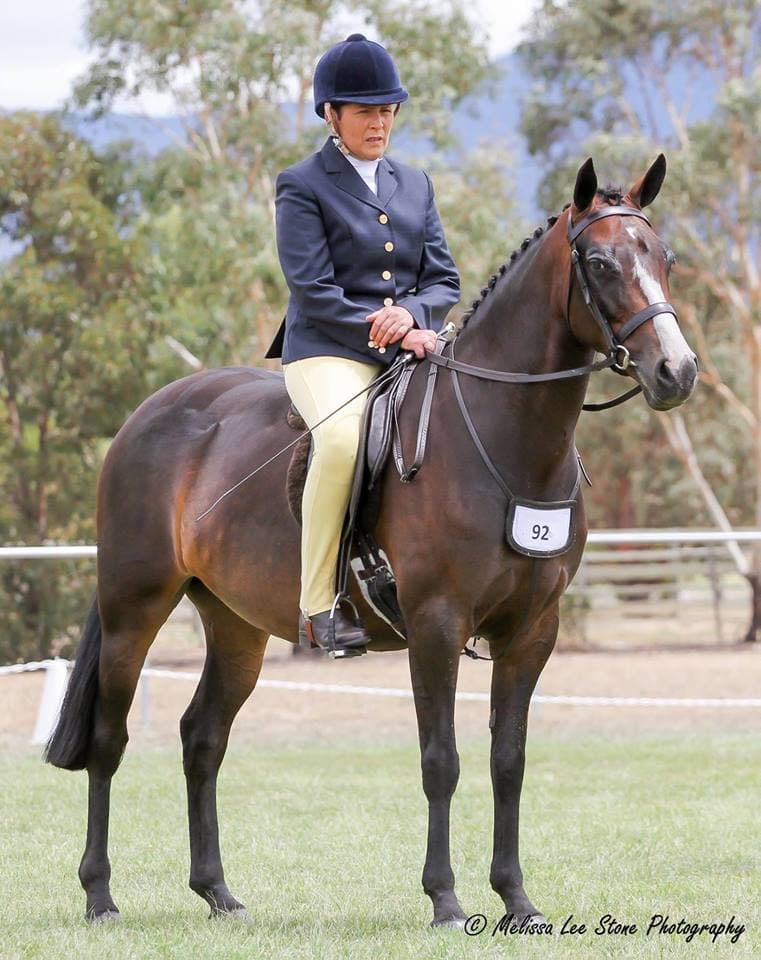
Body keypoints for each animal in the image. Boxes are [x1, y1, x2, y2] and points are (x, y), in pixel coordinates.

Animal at [45, 155, 698, 926]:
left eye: (664, 258)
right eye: (598, 262)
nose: (676, 372)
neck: (503, 437)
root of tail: (146, 415)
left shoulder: (533, 629)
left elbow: (507, 761)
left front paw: (515, 898)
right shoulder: (436, 624)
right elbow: (440, 760)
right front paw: (445, 899)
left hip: (234, 625)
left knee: (202, 739)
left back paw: (218, 894)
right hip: (134, 608)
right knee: (109, 741)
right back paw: (99, 895)